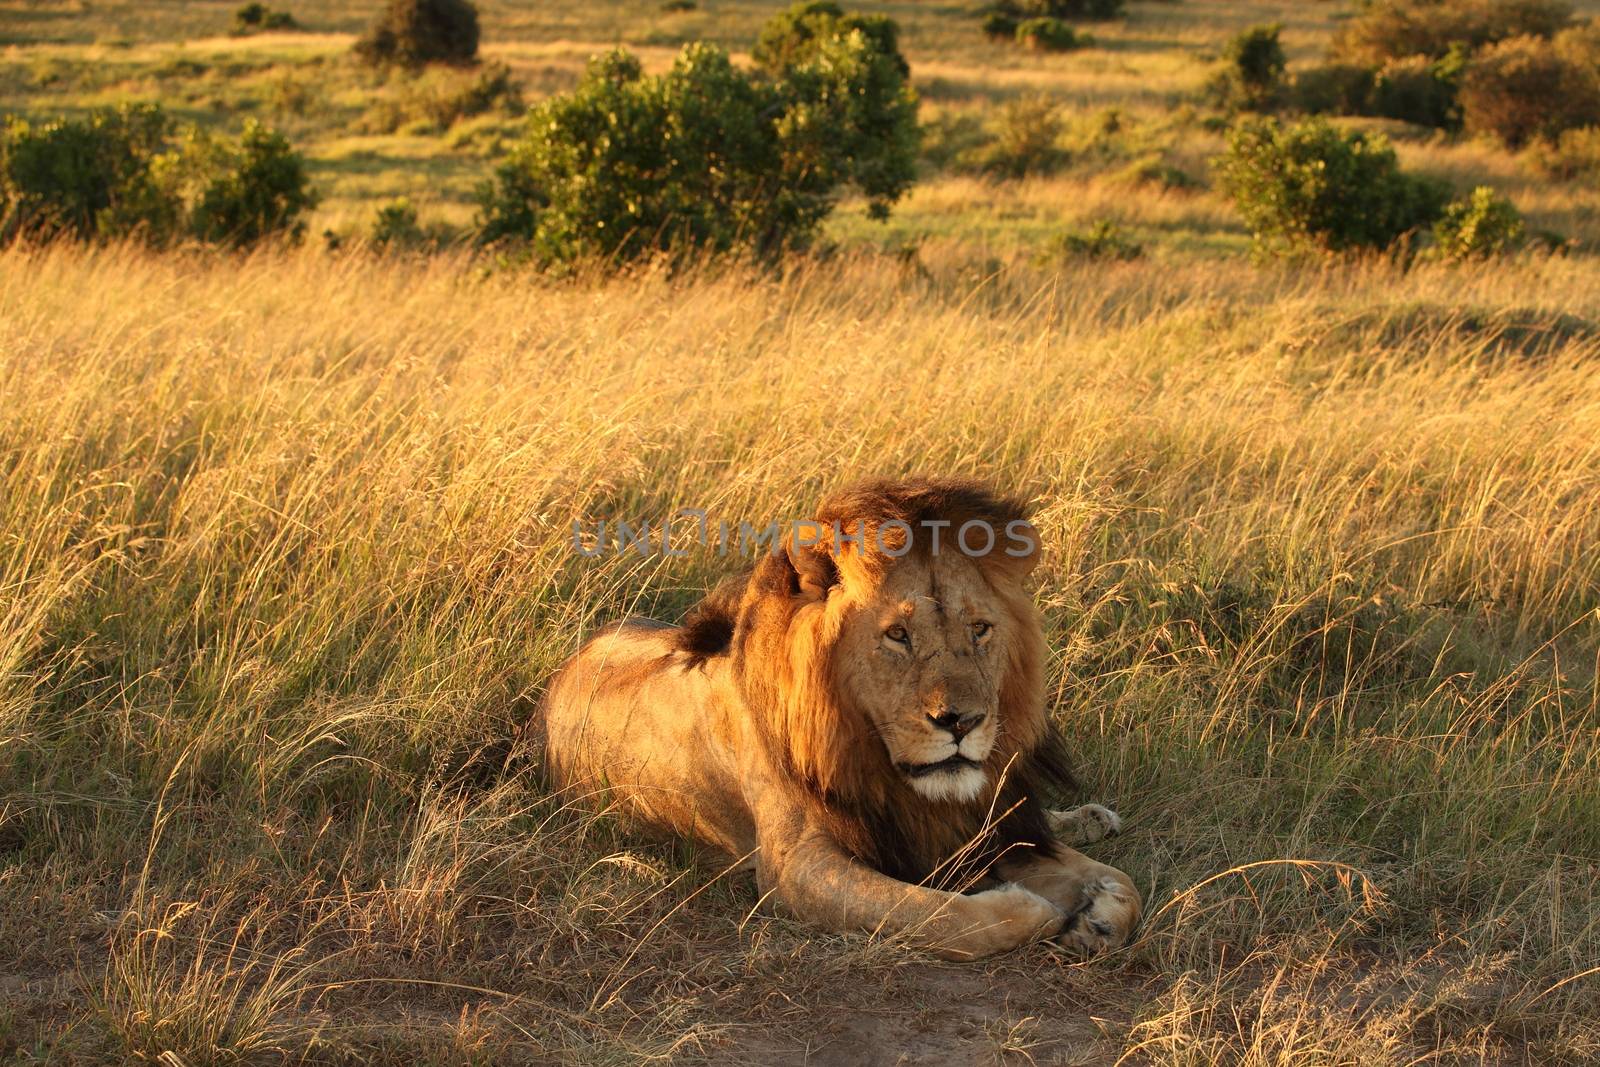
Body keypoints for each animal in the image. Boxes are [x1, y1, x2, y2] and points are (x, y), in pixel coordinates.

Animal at [544, 479, 1145, 966]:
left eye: (979, 629)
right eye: (898, 635)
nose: (962, 722)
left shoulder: (969, 825)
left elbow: (1122, 882)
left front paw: (1097, 918)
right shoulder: (794, 867)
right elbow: (938, 915)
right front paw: (1036, 910)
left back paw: (1089, 817)